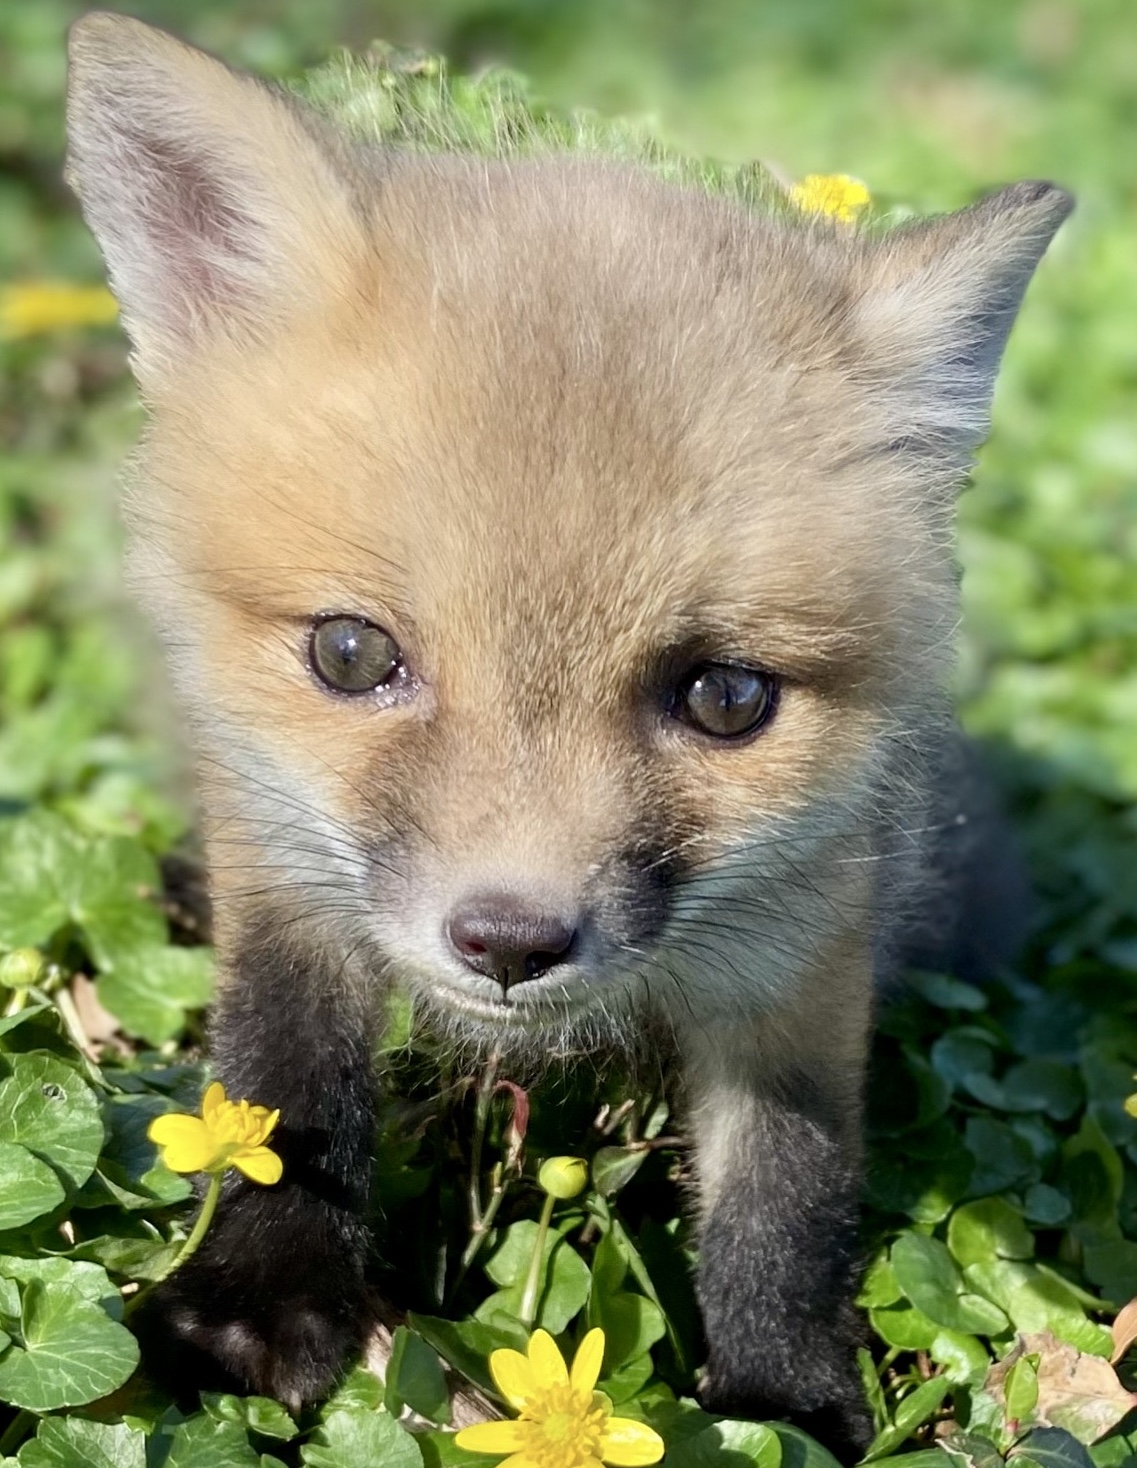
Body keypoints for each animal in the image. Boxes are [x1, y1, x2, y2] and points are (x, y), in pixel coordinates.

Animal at [63, 12, 1072, 1459]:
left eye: (726, 697)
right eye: (351, 655)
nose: (509, 942)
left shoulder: (805, 952)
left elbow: (788, 1195)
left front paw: (782, 1404)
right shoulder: (289, 873)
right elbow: (281, 1081)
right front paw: (260, 1300)